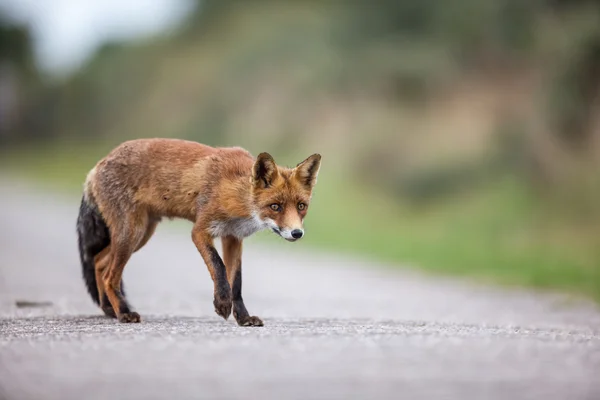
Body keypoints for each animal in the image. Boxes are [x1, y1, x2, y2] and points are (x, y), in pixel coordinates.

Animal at [77, 138, 322, 324]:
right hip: (131, 233)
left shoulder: (233, 237)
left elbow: (237, 283)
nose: (297, 233)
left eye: (301, 206)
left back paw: (109, 309)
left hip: (141, 235)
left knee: (99, 262)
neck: (236, 195)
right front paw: (222, 303)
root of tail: (97, 165)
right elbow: (218, 266)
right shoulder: (201, 230)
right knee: (109, 275)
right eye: (275, 207)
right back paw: (124, 313)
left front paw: (243, 318)